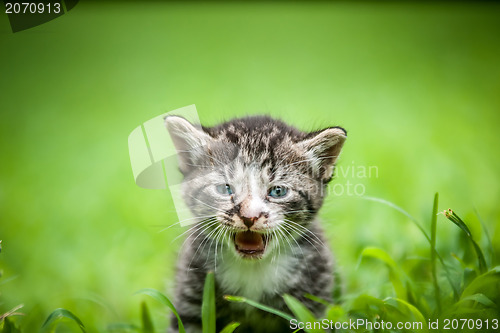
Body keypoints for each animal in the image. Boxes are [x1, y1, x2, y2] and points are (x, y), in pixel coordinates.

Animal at [166, 115, 346, 332]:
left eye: (278, 191)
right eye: (225, 188)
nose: (249, 217)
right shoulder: (190, 300)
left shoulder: (313, 301)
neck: (253, 269)